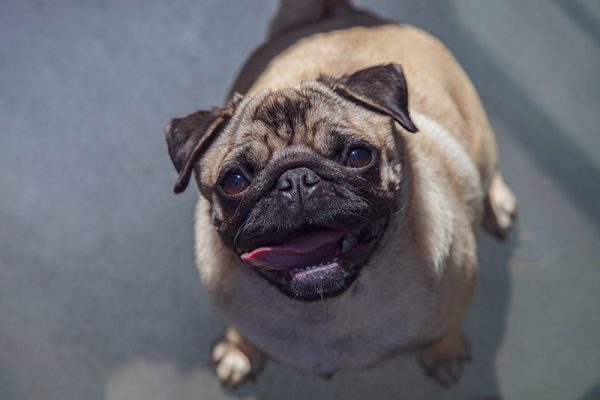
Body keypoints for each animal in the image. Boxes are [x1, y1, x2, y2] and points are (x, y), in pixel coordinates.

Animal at [163, 0, 516, 388]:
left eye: (358, 156)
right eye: (235, 181)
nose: (295, 179)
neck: (327, 308)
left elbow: (445, 331)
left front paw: (444, 352)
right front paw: (239, 349)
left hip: (480, 139)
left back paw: (497, 204)